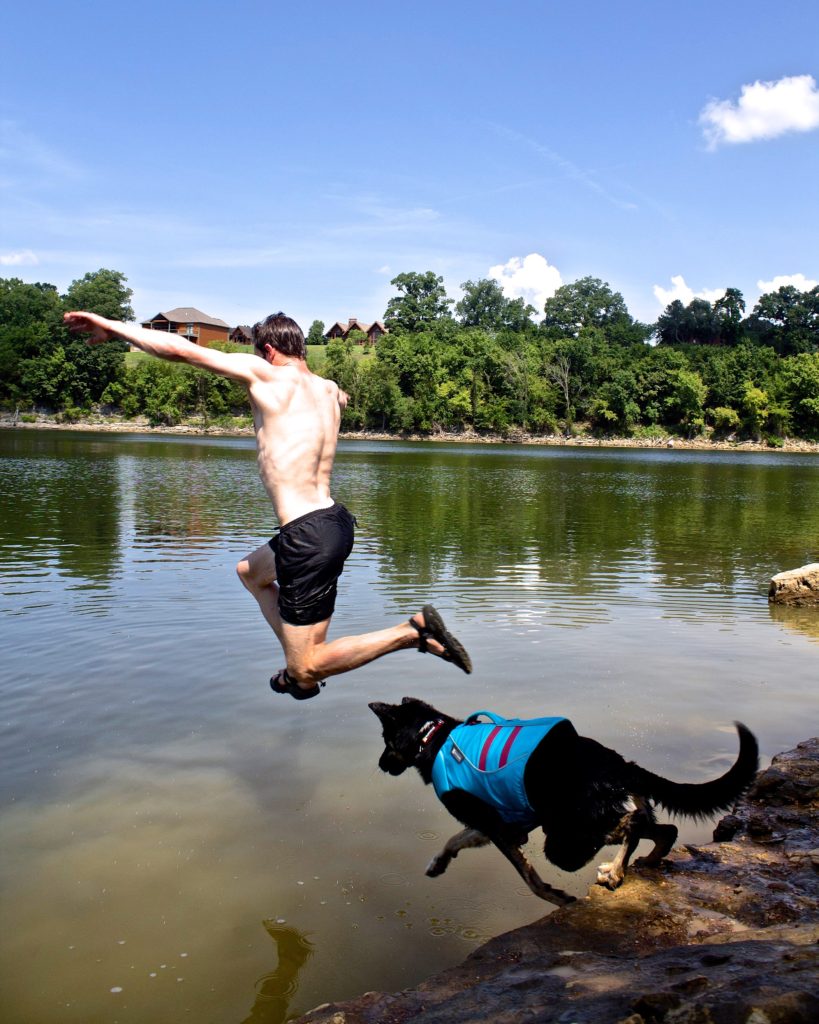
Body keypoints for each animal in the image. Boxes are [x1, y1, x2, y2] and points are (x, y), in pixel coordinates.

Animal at [368, 696, 757, 905]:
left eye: (385, 741)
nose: (381, 765)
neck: (431, 738)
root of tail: (620, 765)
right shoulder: (498, 825)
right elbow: (455, 840)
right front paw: (438, 863)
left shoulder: (499, 829)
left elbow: (528, 877)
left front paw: (555, 897)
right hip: (576, 827)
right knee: (666, 829)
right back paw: (642, 861)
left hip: (566, 840)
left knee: (633, 825)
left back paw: (615, 871)